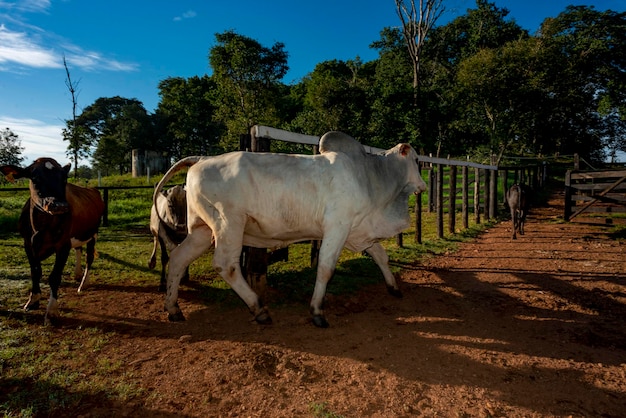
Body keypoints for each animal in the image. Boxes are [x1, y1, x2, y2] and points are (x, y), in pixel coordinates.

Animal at [0, 158, 105, 324]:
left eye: (64, 179)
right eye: (35, 178)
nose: (59, 205)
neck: (40, 228)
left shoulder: (63, 245)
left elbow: (54, 277)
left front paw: (51, 311)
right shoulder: (28, 245)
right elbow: (35, 272)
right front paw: (33, 300)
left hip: (93, 233)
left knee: (89, 258)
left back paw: (83, 283)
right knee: (78, 249)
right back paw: (77, 274)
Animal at [154, 131, 426, 326]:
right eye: (416, 160)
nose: (423, 185)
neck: (371, 176)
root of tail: (202, 158)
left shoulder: (358, 231)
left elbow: (381, 256)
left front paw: (393, 287)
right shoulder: (337, 227)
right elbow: (325, 269)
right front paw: (317, 311)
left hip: (201, 229)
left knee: (178, 258)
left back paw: (173, 308)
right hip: (228, 224)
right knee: (226, 265)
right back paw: (259, 309)